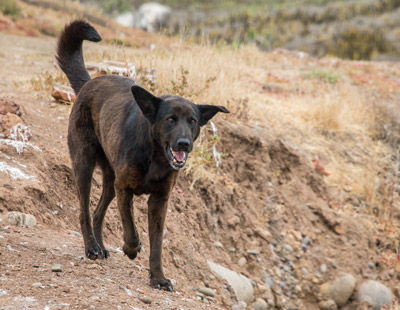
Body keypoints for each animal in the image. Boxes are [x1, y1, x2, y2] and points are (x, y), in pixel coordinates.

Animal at [57, 20, 230, 290]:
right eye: (170, 120)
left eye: (192, 121)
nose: (184, 144)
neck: (155, 156)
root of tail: (88, 83)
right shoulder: (125, 189)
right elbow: (130, 228)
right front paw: (131, 248)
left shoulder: (159, 200)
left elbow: (157, 245)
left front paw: (158, 277)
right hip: (84, 164)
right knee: (84, 211)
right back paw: (92, 247)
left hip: (110, 181)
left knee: (97, 212)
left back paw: (101, 246)